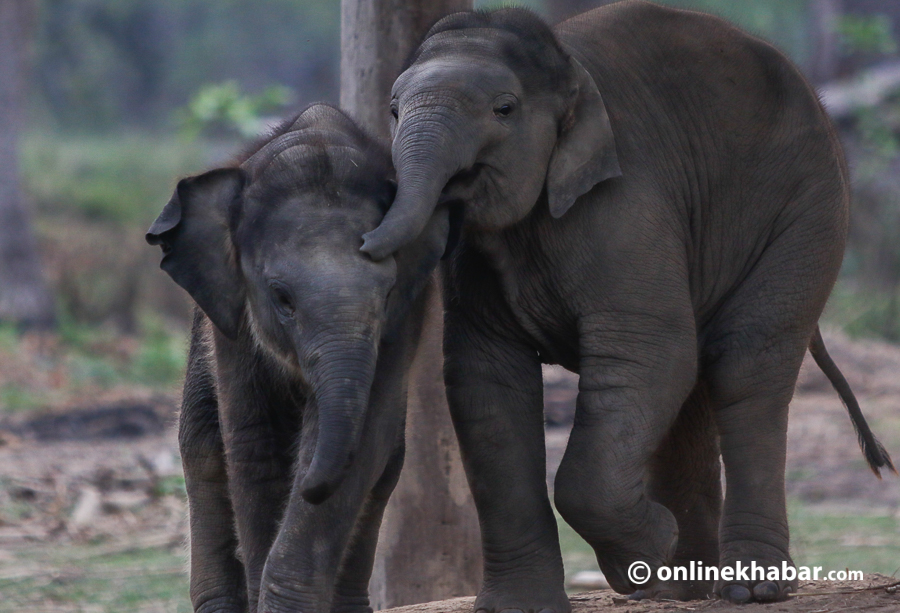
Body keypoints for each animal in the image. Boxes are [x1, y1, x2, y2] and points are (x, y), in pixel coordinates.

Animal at [148, 104, 454, 612]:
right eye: (282, 297)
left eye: (388, 293)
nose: (308, 482)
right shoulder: (234, 324)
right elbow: (255, 444)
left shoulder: (403, 321)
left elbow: (364, 445)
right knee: (203, 445)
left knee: (386, 464)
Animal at [356, 1, 892, 608]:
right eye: (392, 110)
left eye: (504, 108)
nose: (365, 242)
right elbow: (484, 382)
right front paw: (527, 604)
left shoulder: (625, 207)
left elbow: (649, 354)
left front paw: (650, 549)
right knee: (697, 386)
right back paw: (682, 587)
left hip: (807, 211)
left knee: (745, 366)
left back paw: (747, 589)